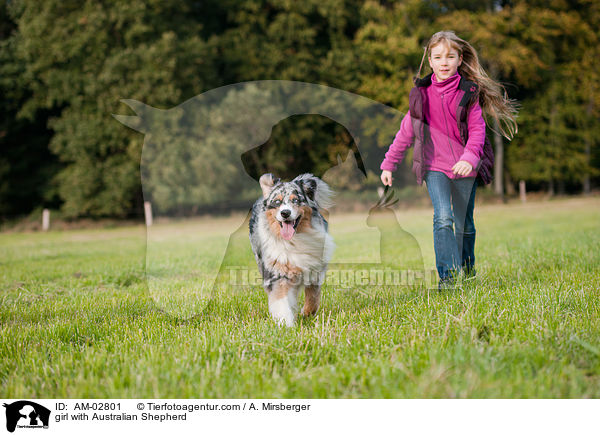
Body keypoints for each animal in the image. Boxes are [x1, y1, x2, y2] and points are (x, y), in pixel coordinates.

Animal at [247, 174, 336, 328]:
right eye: (277, 202)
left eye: (296, 200)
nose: (285, 213)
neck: (294, 240)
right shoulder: (277, 274)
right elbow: (281, 302)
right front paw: (286, 326)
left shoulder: (314, 269)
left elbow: (313, 298)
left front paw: (306, 314)